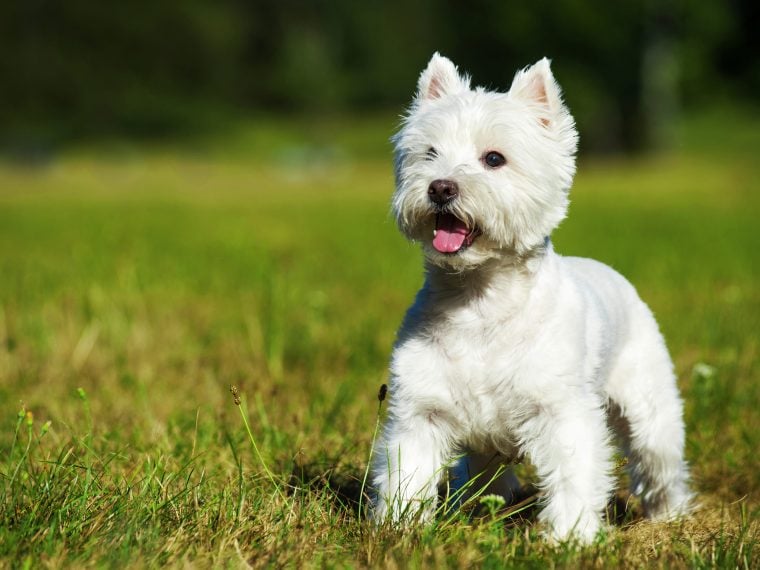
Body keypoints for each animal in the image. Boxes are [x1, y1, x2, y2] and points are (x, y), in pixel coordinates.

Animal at [372, 53, 692, 540]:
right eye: (429, 154)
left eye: (494, 159)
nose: (441, 187)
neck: (480, 302)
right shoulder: (421, 409)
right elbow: (408, 470)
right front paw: (398, 529)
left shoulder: (561, 411)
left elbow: (573, 476)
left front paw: (570, 539)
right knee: (487, 473)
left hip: (649, 407)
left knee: (659, 463)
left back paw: (668, 517)